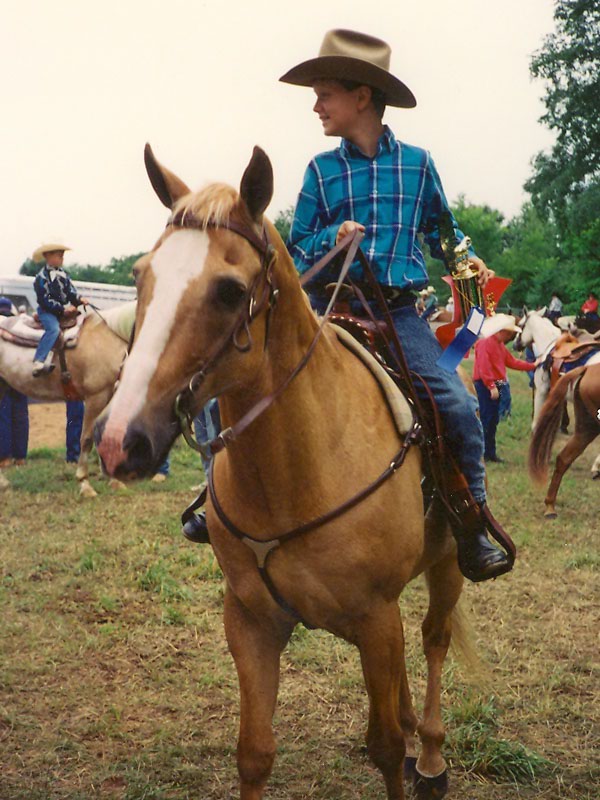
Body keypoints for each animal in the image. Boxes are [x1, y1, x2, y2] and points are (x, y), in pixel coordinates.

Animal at [95, 145, 477, 800]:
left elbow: (383, 746)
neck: (295, 474)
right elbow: (254, 753)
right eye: (142, 277)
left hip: (449, 562)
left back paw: (429, 756)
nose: (122, 441)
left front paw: (406, 753)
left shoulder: (375, 618)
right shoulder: (251, 620)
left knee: (433, 641)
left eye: (228, 291)